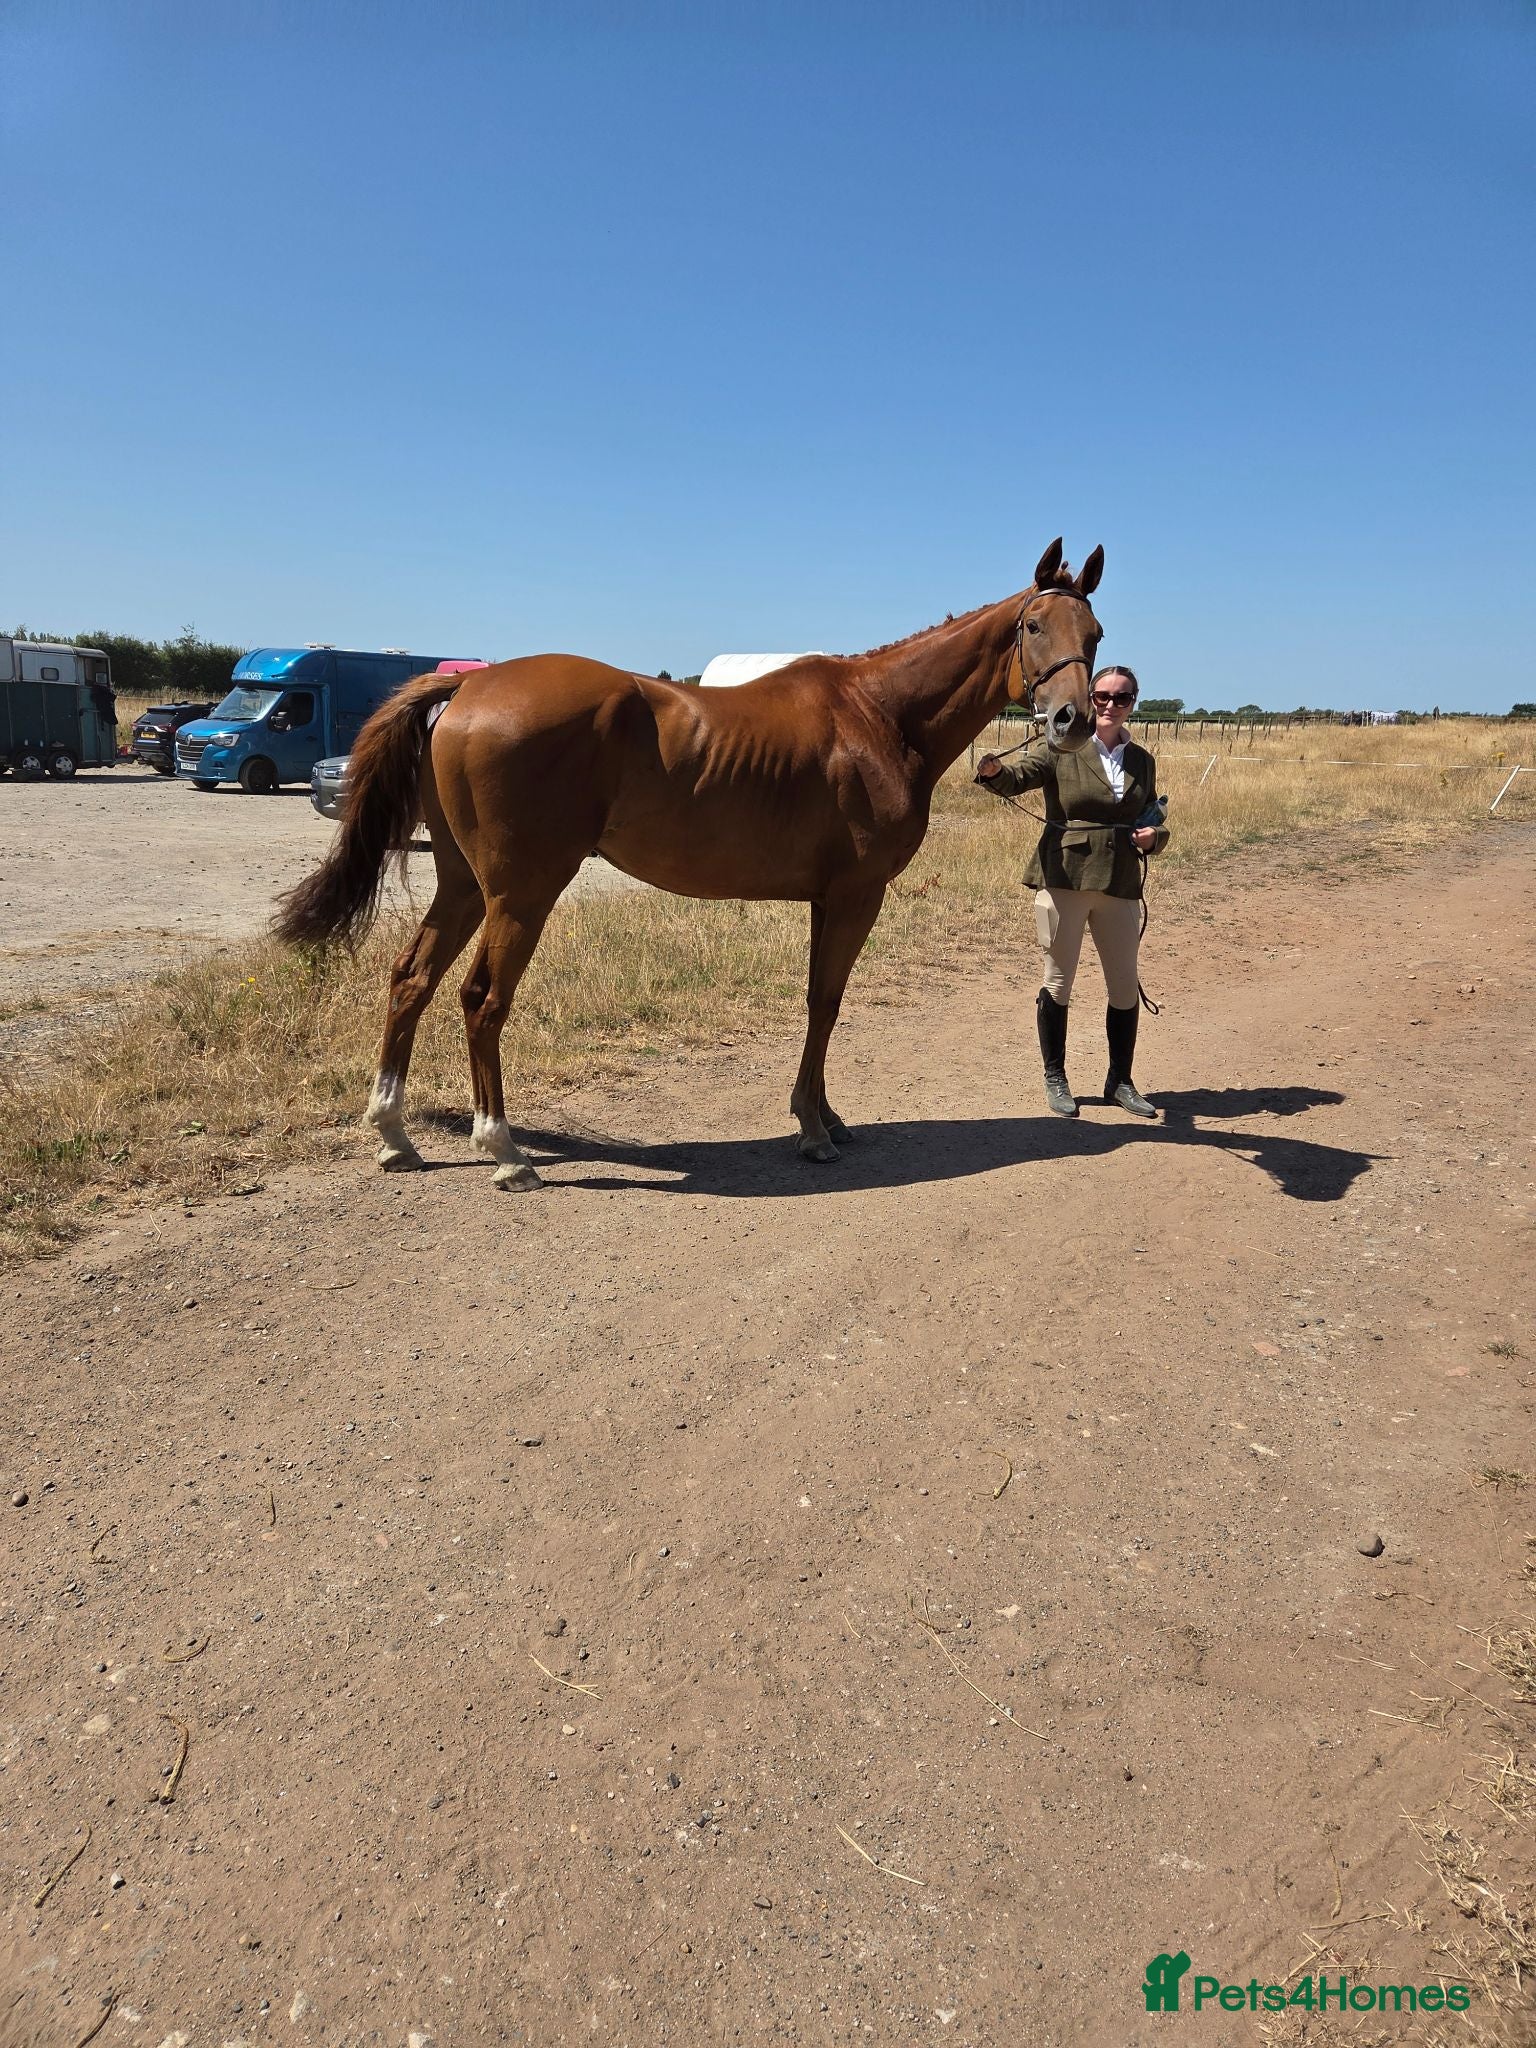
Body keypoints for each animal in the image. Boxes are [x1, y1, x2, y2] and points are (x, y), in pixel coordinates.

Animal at [274, 537, 1104, 1188]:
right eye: (1033, 625)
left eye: (1093, 631)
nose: (1073, 720)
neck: (877, 716)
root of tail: (470, 682)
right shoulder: (855, 895)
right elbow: (825, 1003)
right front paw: (813, 1131)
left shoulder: (826, 899)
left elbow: (820, 1002)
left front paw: (824, 1115)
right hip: (520, 892)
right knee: (481, 999)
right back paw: (505, 1151)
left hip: (464, 886)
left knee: (411, 979)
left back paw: (393, 1134)